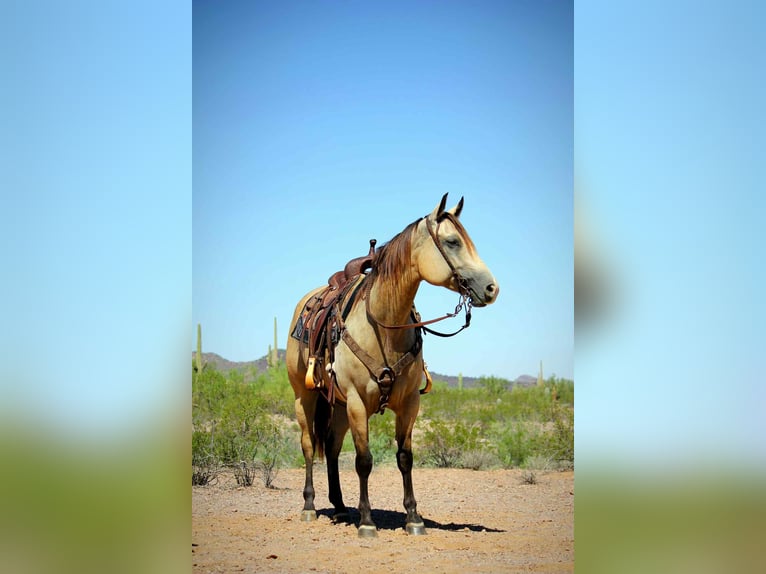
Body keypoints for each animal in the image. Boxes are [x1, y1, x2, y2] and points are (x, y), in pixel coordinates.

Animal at [286, 194, 499, 538]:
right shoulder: (358, 402)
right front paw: (367, 521)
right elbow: (364, 460)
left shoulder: (409, 402)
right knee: (308, 445)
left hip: (339, 405)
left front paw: (414, 518)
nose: (492, 288)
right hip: (304, 396)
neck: (383, 323)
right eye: (452, 242)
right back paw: (309, 506)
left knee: (331, 447)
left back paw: (341, 507)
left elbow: (405, 458)